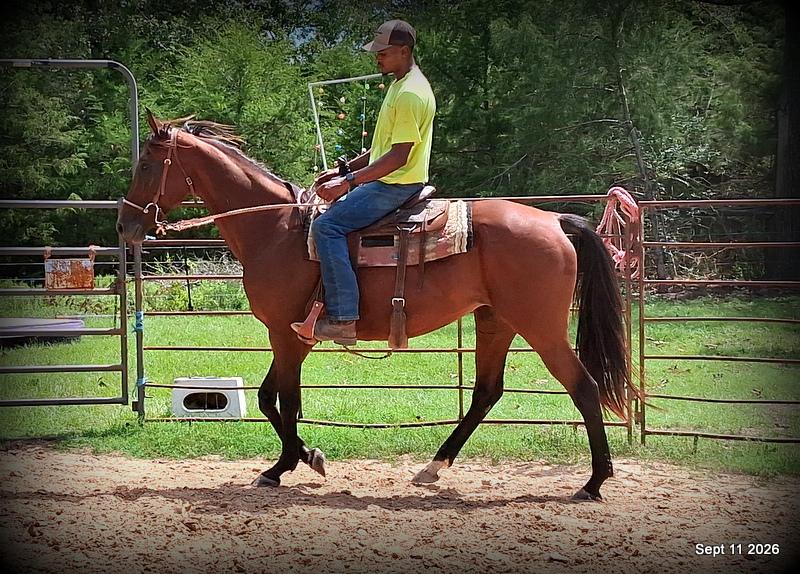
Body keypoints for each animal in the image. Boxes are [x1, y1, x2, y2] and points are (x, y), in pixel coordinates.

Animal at [117, 111, 631, 501]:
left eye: (147, 165)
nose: (125, 225)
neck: (276, 230)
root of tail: (554, 220)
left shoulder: (284, 333)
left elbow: (286, 401)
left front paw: (292, 463)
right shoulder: (293, 335)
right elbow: (270, 398)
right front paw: (298, 460)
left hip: (540, 326)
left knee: (583, 387)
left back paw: (594, 482)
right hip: (496, 321)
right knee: (486, 392)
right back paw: (432, 468)